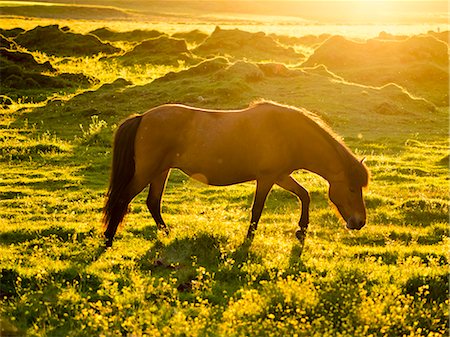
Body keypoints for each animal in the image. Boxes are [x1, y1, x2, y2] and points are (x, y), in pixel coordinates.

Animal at [103, 100, 370, 247]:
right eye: (351, 188)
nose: (359, 223)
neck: (288, 133)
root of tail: (143, 117)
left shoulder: (281, 176)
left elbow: (304, 195)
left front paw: (301, 231)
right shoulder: (267, 178)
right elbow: (257, 209)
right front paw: (249, 239)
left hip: (161, 171)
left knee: (153, 203)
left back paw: (167, 234)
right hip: (147, 172)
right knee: (123, 199)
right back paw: (108, 239)